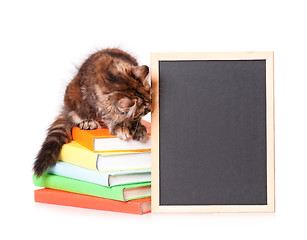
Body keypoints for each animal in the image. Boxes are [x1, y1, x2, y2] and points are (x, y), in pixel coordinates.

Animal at [33, 48, 153, 176]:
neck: (115, 81)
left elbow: (134, 120)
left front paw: (138, 128)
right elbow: (111, 117)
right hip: (72, 97)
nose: (152, 108)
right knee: (76, 116)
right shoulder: (97, 103)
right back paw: (88, 123)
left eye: (151, 98)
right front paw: (120, 128)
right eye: (145, 110)